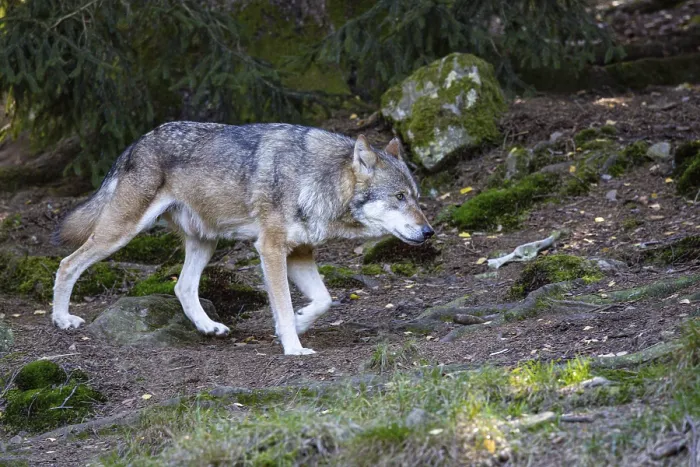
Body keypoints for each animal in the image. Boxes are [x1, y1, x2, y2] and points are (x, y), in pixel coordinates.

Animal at [52, 122, 434, 355]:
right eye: (399, 197)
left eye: (416, 197)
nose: (429, 232)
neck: (315, 177)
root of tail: (136, 143)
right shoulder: (271, 249)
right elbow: (283, 304)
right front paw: (294, 347)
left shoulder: (300, 252)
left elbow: (324, 300)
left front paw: (299, 323)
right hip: (120, 233)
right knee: (67, 264)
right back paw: (62, 320)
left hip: (205, 242)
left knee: (182, 287)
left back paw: (209, 327)